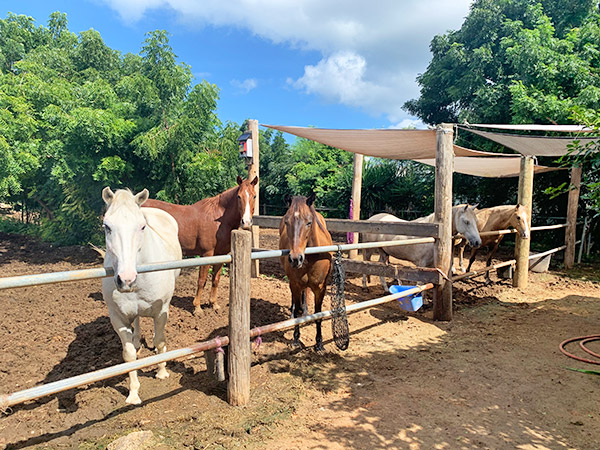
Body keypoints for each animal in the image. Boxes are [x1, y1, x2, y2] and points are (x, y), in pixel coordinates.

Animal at [102, 186, 182, 404]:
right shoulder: (118, 318)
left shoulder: (161, 311)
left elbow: (160, 341)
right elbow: (129, 355)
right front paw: (133, 393)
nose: (126, 279)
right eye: (107, 226)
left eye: (142, 227)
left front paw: (161, 372)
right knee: (136, 321)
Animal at [145, 174, 260, 314]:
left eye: (254, 196)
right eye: (239, 196)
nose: (246, 222)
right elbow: (202, 280)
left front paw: (213, 304)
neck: (218, 220)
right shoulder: (207, 254)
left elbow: (215, 280)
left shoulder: (221, 255)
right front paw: (197, 308)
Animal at [280, 193, 332, 352]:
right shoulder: (295, 284)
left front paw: (319, 343)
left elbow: (318, 314)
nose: (295, 259)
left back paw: (306, 310)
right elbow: (297, 312)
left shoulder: (320, 288)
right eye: (287, 222)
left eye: (309, 222)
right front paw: (296, 339)